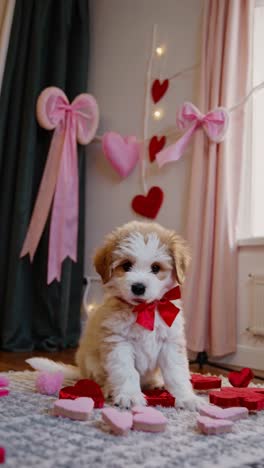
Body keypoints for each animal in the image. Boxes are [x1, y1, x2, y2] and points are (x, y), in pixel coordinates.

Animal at [27, 220, 202, 410]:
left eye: (155, 268)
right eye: (126, 266)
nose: (138, 287)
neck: (143, 310)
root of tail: (80, 370)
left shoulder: (170, 342)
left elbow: (176, 372)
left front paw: (186, 397)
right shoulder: (118, 342)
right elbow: (127, 372)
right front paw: (130, 396)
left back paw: (156, 383)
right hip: (92, 362)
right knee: (102, 379)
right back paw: (110, 388)